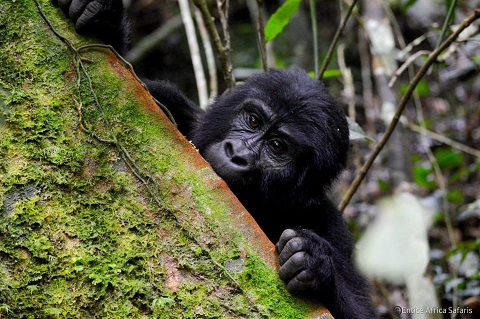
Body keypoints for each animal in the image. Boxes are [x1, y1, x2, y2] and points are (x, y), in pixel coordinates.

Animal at [52, 1, 376, 318]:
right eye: (253, 120)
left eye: (278, 146)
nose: (238, 154)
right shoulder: (171, 104)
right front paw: (102, 14)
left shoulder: (329, 223)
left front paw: (313, 260)